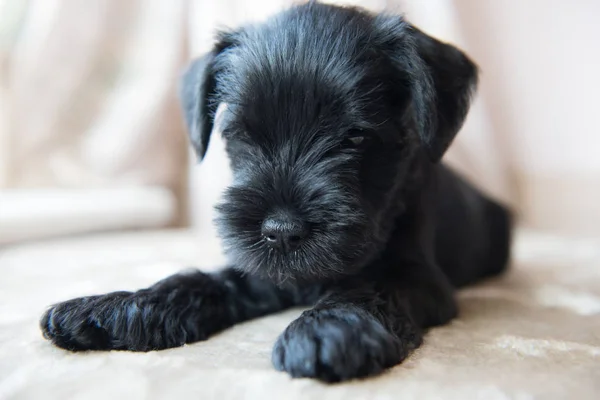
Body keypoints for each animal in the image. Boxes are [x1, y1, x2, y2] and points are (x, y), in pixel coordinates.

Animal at [41, 3, 510, 384]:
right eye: (239, 134)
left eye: (356, 136)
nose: (281, 230)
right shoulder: (262, 270)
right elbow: (199, 281)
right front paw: (112, 307)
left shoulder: (420, 278)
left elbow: (371, 287)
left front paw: (328, 328)